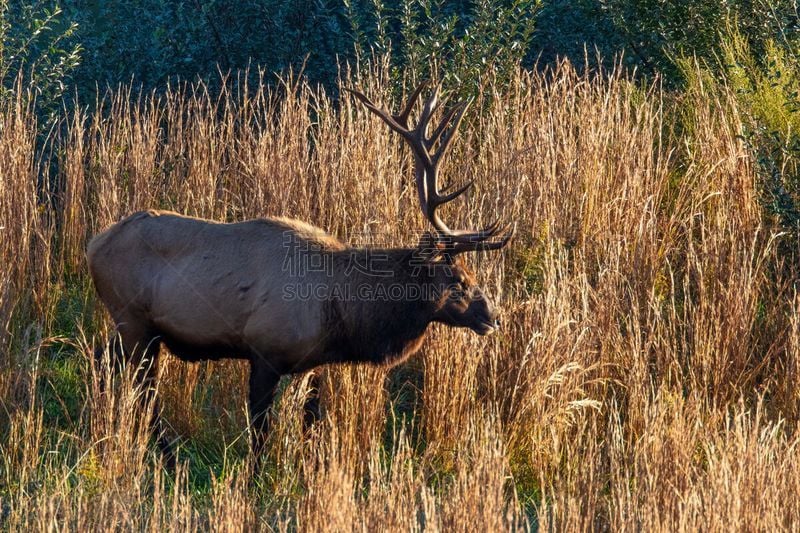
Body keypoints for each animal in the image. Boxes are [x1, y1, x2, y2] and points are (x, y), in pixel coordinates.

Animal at [86, 81, 512, 460]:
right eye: (457, 281)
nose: (492, 316)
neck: (342, 311)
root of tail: (93, 245)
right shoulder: (263, 350)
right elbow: (260, 432)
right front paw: (257, 481)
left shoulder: (313, 364)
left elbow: (310, 423)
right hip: (134, 321)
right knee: (144, 393)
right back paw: (166, 456)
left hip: (136, 329)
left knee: (106, 364)